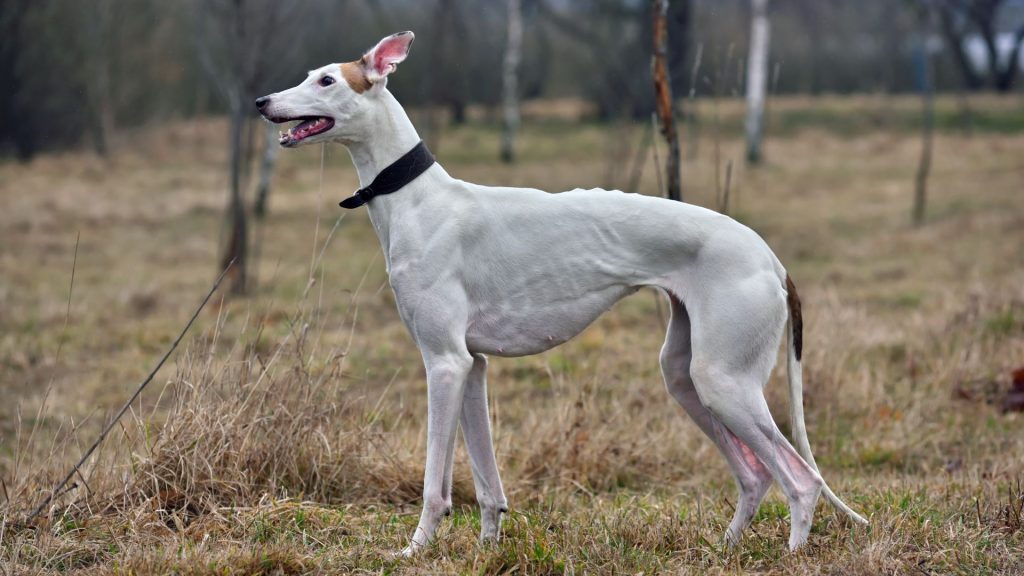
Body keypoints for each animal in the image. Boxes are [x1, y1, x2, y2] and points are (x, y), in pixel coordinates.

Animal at [256, 32, 864, 557]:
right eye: (309, 75)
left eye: (327, 80)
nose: (262, 101)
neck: (417, 198)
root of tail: (771, 258)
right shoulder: (472, 367)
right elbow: (488, 483)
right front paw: (488, 547)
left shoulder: (444, 363)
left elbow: (435, 484)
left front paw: (414, 550)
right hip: (688, 376)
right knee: (755, 475)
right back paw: (726, 547)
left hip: (725, 381)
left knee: (801, 479)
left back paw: (791, 549)